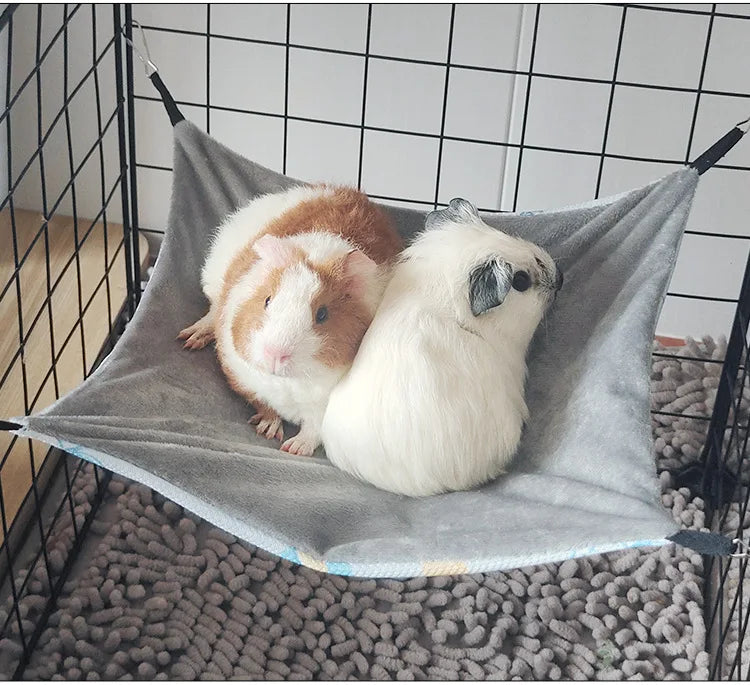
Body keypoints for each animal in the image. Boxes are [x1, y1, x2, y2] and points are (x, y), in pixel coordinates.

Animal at [178, 184, 403, 456]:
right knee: (211, 312)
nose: (275, 354)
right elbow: (263, 404)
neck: (287, 384)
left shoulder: (324, 410)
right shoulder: (243, 378)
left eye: (322, 314)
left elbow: (313, 430)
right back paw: (189, 339)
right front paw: (268, 430)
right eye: (267, 300)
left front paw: (293, 448)